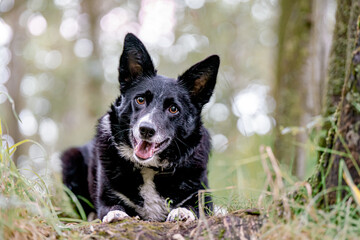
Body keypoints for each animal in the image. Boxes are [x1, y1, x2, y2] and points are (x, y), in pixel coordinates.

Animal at [61, 32, 219, 222]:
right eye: (140, 100)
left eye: (173, 109)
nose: (146, 129)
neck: (149, 168)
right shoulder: (107, 198)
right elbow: (112, 207)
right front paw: (116, 214)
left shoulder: (202, 196)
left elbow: (194, 207)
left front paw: (183, 212)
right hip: (71, 158)